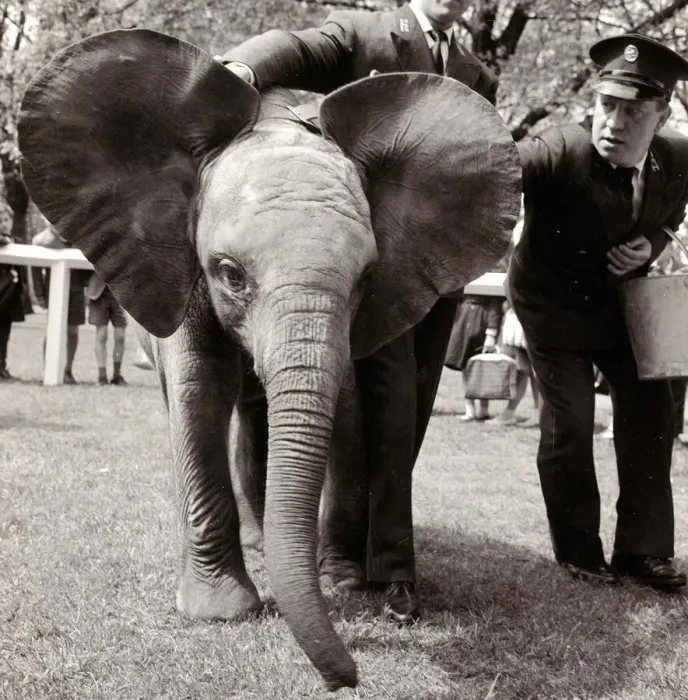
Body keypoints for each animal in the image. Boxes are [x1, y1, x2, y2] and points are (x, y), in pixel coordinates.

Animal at [18, 29, 521, 691]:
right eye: (230, 274)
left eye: (365, 279)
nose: (346, 678)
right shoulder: (184, 271)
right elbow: (199, 393)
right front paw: (222, 612)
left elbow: (348, 409)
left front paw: (345, 584)